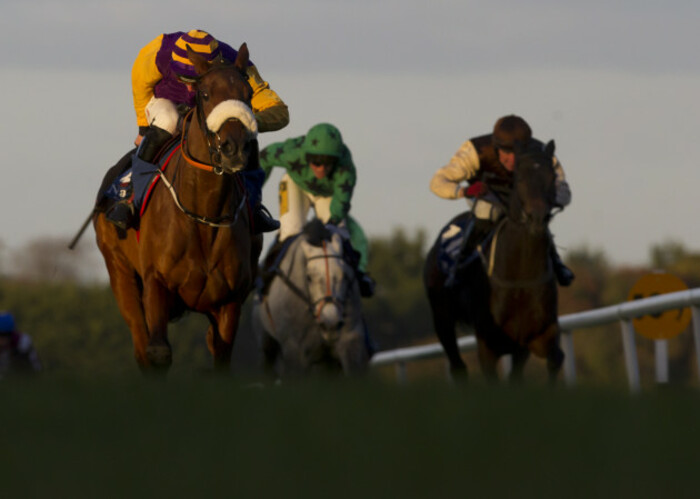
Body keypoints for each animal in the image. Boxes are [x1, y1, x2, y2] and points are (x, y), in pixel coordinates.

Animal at [95, 43, 262, 372]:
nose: (235, 148)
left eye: (248, 92)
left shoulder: (230, 301)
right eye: (206, 93)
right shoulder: (156, 285)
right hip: (120, 273)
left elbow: (221, 358)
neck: (204, 213)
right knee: (141, 345)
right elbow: (158, 352)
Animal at [252, 220, 372, 378]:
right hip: (266, 345)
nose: (330, 323)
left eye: (344, 275)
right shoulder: (295, 351)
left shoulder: (351, 345)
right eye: (308, 277)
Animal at [422, 140, 564, 382]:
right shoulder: (488, 347)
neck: (520, 280)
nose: (537, 218)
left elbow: (555, 359)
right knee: (458, 367)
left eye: (552, 176)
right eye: (520, 178)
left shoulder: (534, 338)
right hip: (442, 319)